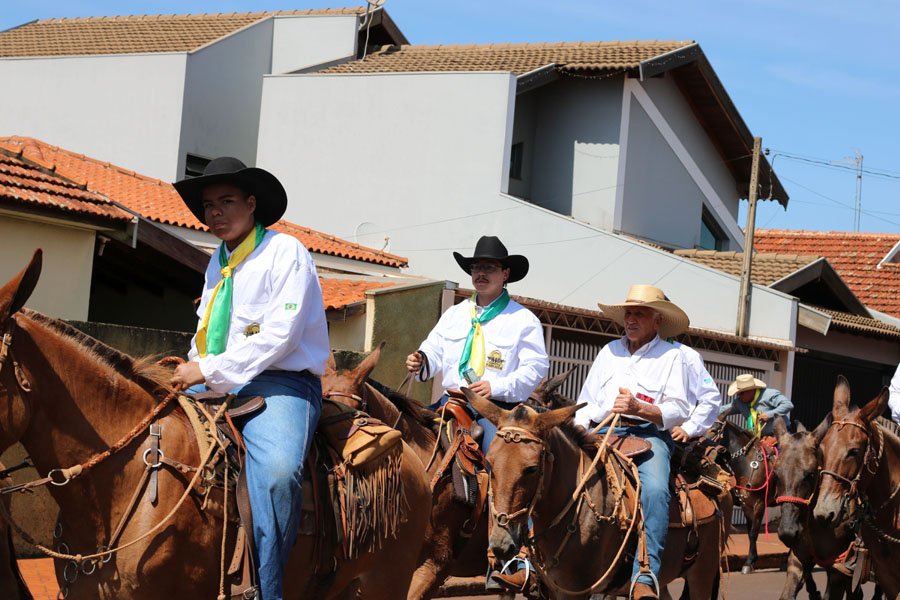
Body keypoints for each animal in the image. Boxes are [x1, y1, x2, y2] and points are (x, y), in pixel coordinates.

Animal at [464, 389, 730, 600]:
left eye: (531, 469)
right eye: (490, 463)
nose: (500, 545)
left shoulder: (576, 591)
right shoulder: (552, 589)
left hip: (702, 573)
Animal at [704, 413, 778, 574]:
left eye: (713, 429)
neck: (749, 464)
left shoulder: (759, 504)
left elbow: (754, 532)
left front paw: (749, 563)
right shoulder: (745, 504)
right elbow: (750, 531)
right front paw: (752, 559)